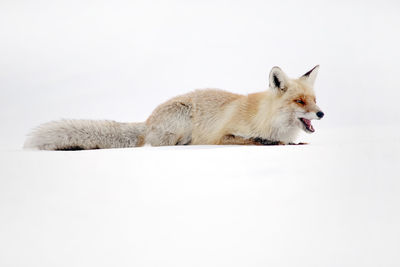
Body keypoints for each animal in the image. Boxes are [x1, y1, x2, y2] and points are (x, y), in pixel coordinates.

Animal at [23, 65, 324, 151]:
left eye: (314, 99)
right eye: (299, 101)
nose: (321, 113)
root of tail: (148, 122)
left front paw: (292, 144)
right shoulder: (223, 135)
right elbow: (252, 141)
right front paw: (272, 143)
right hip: (181, 119)